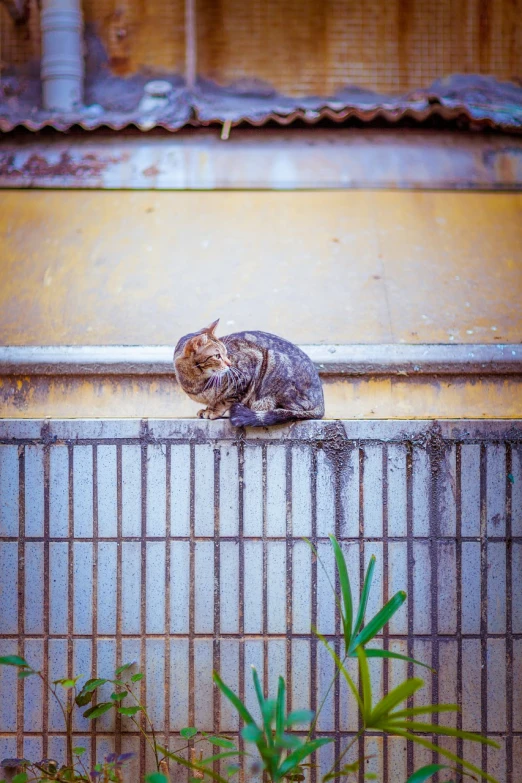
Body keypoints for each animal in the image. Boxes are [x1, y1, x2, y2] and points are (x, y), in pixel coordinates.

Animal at [173, 320, 322, 428]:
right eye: (217, 356)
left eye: (226, 353)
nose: (230, 364)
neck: (196, 382)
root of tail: (321, 402)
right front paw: (208, 408)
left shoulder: (249, 368)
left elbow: (226, 399)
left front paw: (214, 411)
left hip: (274, 362)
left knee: (294, 411)